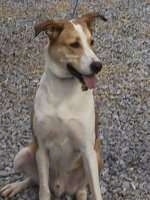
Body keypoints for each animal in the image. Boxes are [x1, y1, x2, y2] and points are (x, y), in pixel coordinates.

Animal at [0, 12, 106, 200]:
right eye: (74, 44)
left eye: (92, 42)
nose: (98, 66)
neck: (64, 92)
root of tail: (62, 188)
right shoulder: (41, 148)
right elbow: (43, 189)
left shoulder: (87, 149)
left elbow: (96, 190)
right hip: (22, 155)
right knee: (33, 180)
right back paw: (14, 186)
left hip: (97, 157)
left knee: (83, 188)